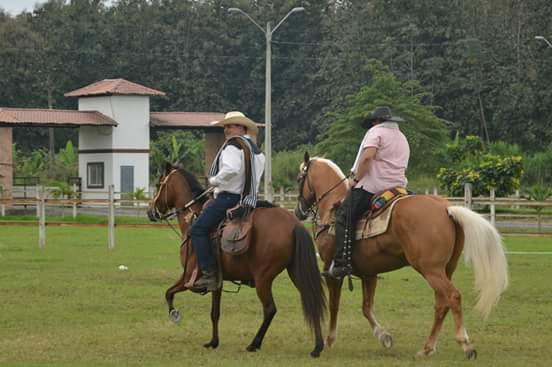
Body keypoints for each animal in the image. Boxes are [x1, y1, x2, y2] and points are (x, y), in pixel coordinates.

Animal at [148, 165, 328, 360]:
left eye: (158, 184)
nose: (150, 211)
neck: (193, 219)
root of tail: (294, 224)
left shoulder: (188, 277)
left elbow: (169, 293)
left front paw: (174, 315)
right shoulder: (216, 282)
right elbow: (214, 312)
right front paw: (213, 342)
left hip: (263, 278)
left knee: (270, 309)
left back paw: (254, 344)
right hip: (296, 272)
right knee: (311, 299)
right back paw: (317, 347)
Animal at [294, 154, 508, 360]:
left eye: (299, 178)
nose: (299, 211)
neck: (331, 207)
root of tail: (445, 209)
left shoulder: (332, 270)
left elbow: (334, 304)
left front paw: (329, 340)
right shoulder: (369, 273)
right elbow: (366, 307)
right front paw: (384, 337)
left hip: (430, 270)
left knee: (453, 297)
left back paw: (465, 345)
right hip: (446, 269)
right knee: (441, 304)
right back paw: (427, 348)